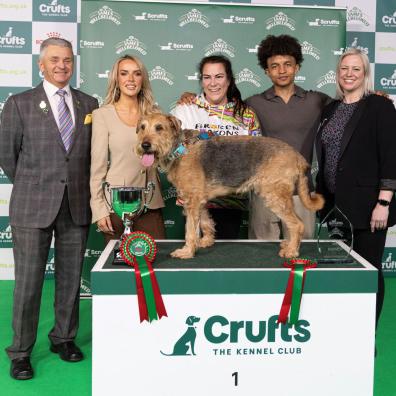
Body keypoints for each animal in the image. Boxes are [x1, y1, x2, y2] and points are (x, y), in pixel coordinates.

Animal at [137, 113, 324, 258]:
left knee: (297, 224)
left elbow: (190, 230)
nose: (144, 145)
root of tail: (298, 157)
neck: (179, 149)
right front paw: (206, 241)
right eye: (142, 127)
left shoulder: (192, 201)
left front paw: (187, 251)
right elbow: (205, 222)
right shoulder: (198, 200)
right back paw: (288, 245)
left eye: (159, 128)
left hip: (275, 196)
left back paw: (291, 251)